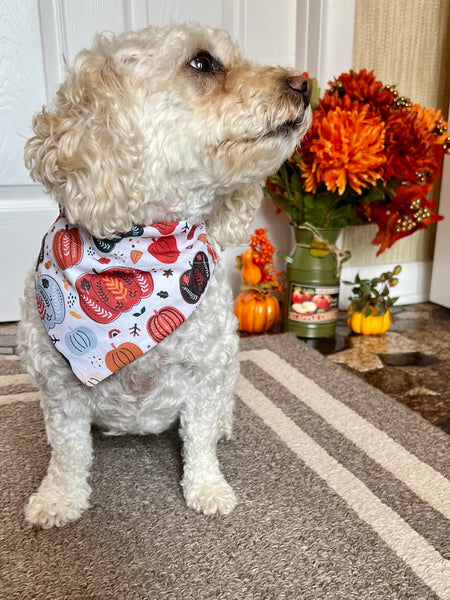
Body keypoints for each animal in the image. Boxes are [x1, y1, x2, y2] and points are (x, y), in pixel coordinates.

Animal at [19, 21, 312, 528]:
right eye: (202, 62)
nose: (305, 84)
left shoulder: (206, 372)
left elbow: (199, 441)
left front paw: (208, 488)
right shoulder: (59, 388)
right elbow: (68, 452)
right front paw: (58, 498)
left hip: (229, 368)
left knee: (221, 410)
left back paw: (225, 426)